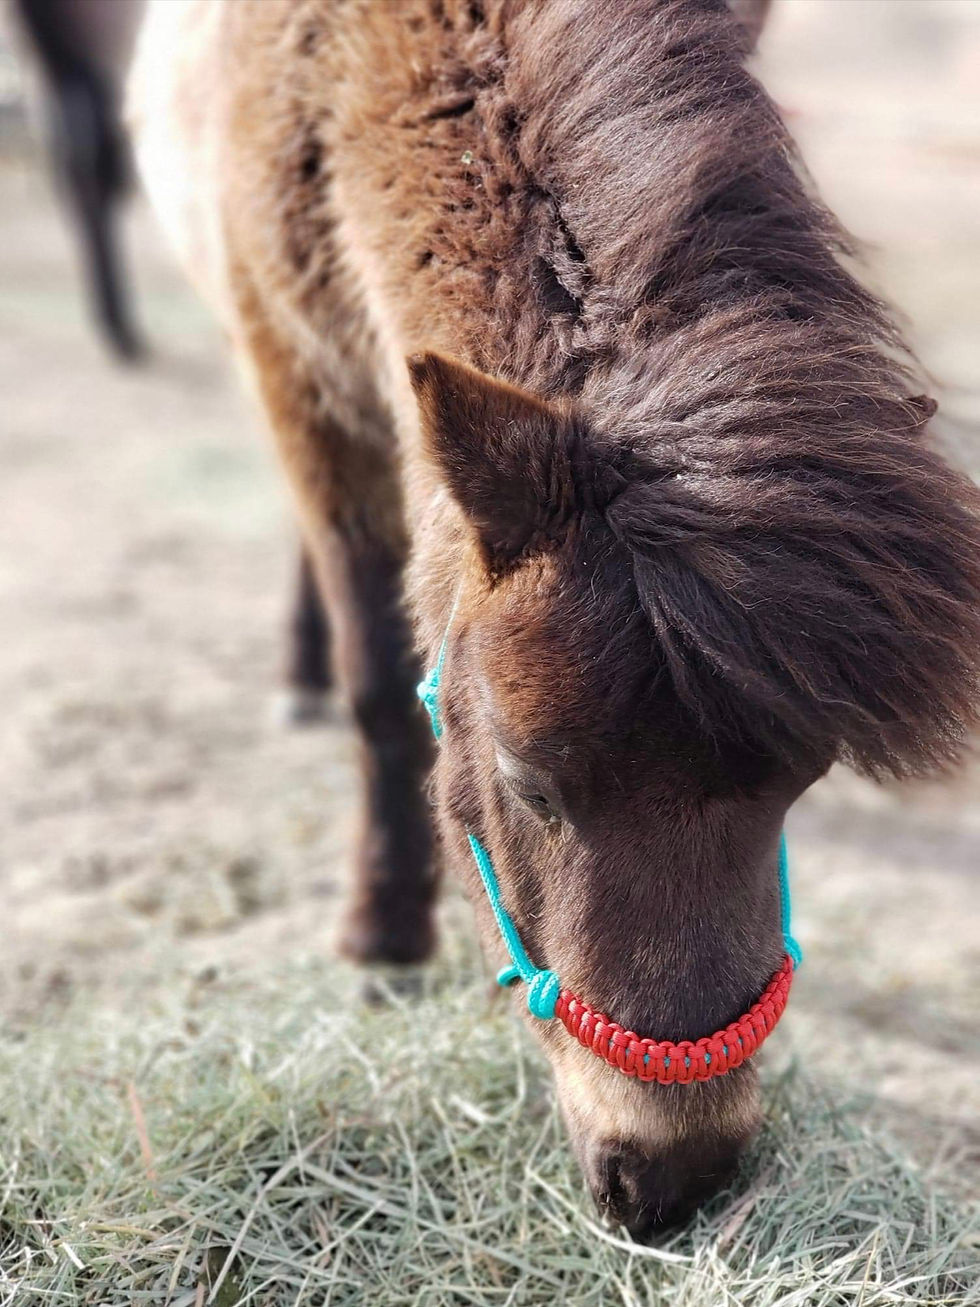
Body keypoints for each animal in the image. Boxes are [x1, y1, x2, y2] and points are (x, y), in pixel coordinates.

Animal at [128, 0, 980, 1234]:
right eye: (528, 782)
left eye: (803, 782)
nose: (678, 1176)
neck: (364, 62)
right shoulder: (294, 375)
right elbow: (380, 683)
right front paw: (382, 930)